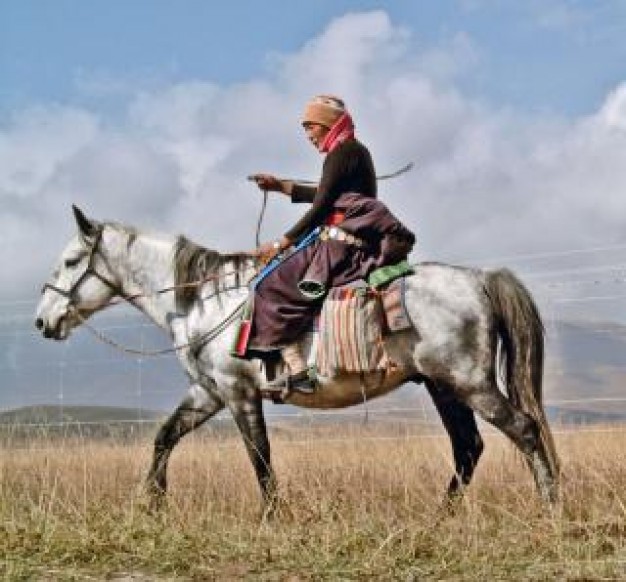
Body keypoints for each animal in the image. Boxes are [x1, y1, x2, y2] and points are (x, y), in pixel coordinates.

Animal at [36, 205, 560, 512]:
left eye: (69, 262)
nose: (43, 322)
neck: (203, 299)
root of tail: (479, 278)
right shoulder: (207, 392)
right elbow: (165, 437)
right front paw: (153, 503)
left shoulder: (238, 391)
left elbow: (260, 456)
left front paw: (272, 516)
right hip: (442, 385)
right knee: (468, 447)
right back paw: (441, 517)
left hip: (469, 382)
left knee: (523, 430)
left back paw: (549, 508)